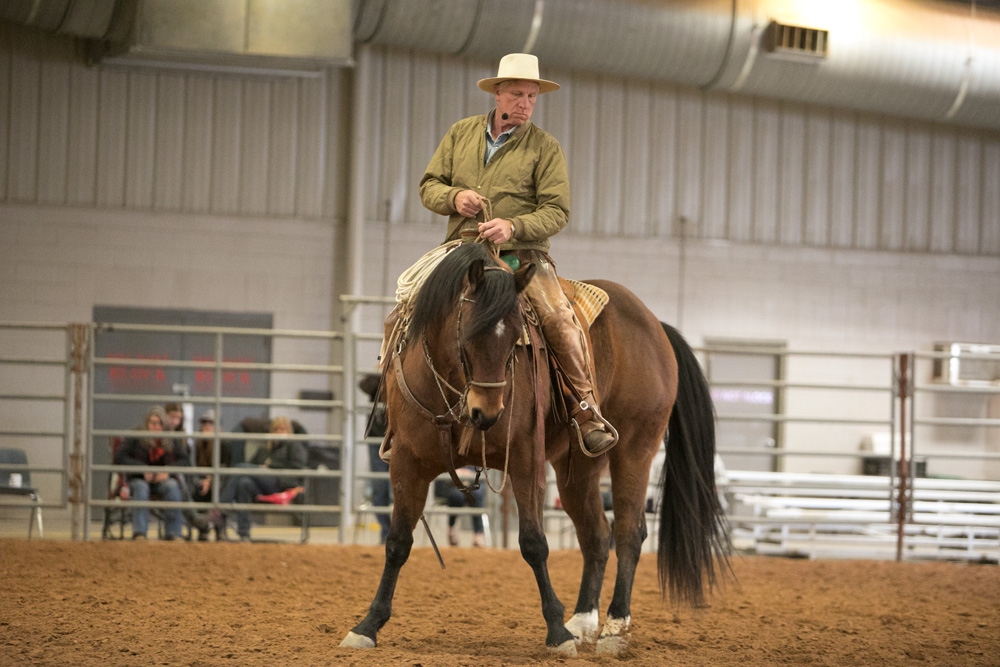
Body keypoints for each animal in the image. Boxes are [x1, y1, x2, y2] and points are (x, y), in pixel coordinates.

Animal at [340, 244, 732, 656]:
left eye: (517, 336)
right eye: (468, 331)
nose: (487, 412)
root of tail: (656, 326)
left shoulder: (526, 460)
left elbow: (533, 544)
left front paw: (556, 633)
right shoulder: (407, 464)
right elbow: (397, 542)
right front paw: (368, 625)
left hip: (635, 449)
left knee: (629, 532)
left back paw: (613, 628)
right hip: (579, 467)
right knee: (596, 534)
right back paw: (583, 621)